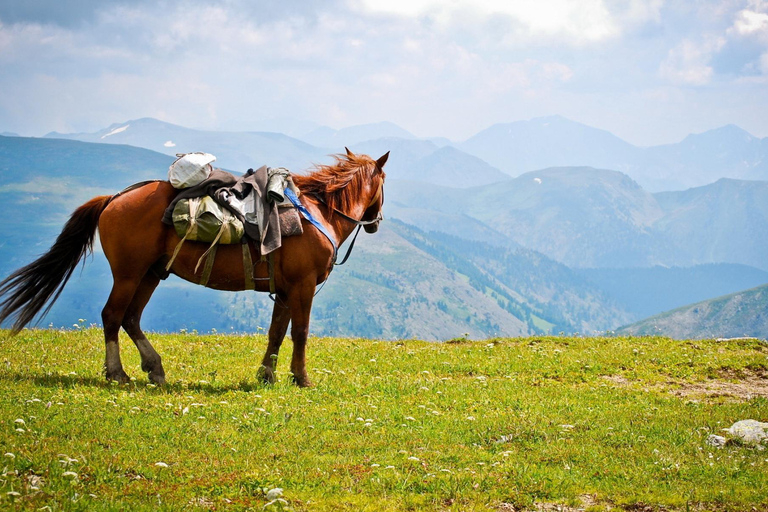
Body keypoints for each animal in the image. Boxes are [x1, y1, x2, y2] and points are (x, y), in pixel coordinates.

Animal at [0, 148, 384, 388]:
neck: (319, 214)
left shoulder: (285, 291)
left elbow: (276, 332)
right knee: (112, 315)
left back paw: (154, 369)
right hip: (128, 273)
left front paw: (267, 375)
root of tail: (113, 199)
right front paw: (301, 379)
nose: (376, 222)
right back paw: (118, 373)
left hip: (151, 273)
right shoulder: (302, 287)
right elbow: (300, 333)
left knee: (130, 318)